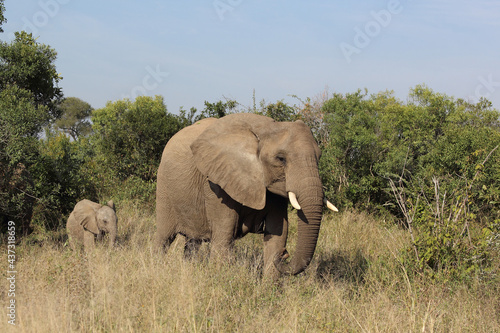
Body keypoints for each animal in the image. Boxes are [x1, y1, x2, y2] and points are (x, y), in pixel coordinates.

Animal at [154, 113, 338, 276]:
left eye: (319, 157)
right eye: (281, 159)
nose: (285, 255)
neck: (267, 128)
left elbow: (278, 234)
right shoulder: (216, 184)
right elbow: (223, 238)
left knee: (192, 243)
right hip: (164, 187)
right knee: (163, 238)